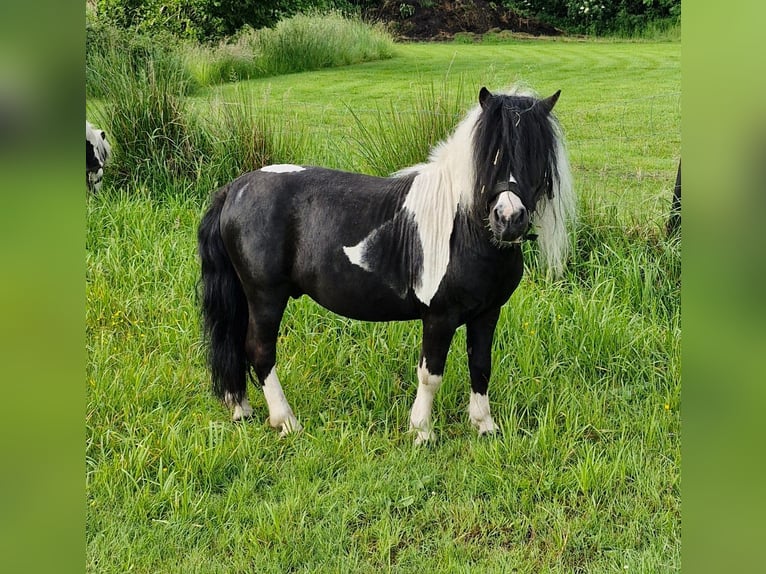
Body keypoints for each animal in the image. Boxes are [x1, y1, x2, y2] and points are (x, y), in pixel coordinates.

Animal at [197, 86, 575, 444]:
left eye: (535, 154)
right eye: (489, 155)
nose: (508, 219)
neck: (464, 229)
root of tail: (235, 188)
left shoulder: (487, 313)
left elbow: (480, 365)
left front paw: (485, 427)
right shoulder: (439, 317)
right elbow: (431, 374)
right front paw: (422, 432)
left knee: (236, 345)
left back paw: (242, 409)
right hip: (265, 296)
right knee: (259, 350)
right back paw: (286, 421)